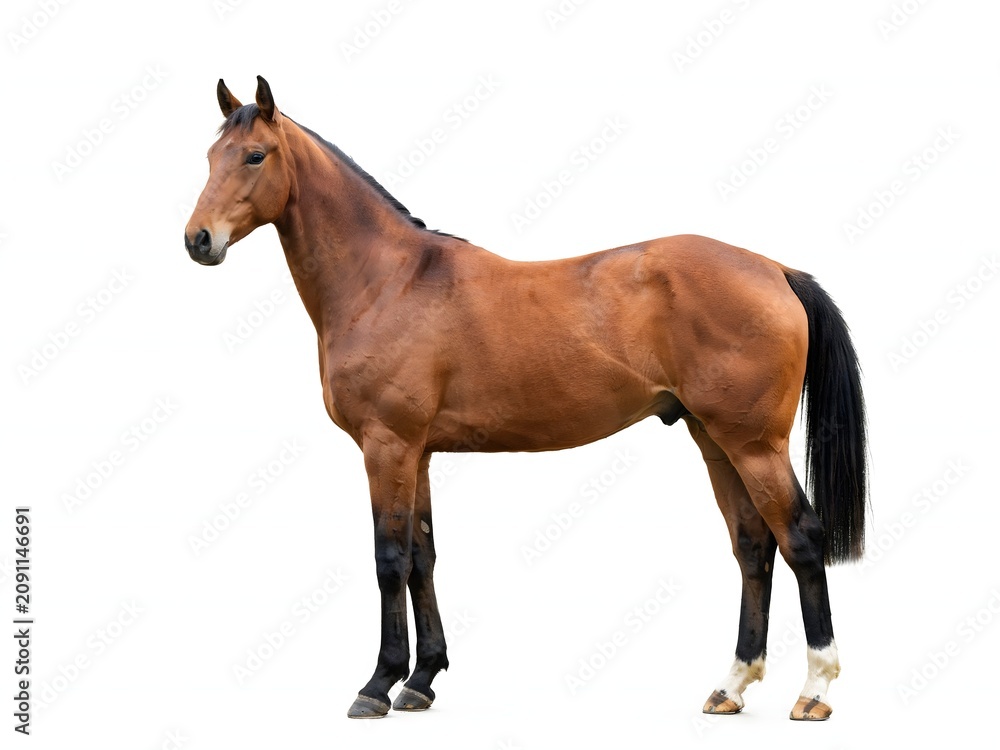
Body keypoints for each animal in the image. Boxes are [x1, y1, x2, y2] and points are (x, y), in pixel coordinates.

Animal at [184, 76, 867, 721]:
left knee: (801, 540)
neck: (387, 280)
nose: (198, 240)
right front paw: (422, 680)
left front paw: (378, 684)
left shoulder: (387, 447)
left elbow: (389, 560)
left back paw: (814, 690)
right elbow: (423, 557)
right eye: (211, 155)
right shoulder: (418, 453)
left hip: (754, 445)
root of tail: (775, 269)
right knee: (753, 547)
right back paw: (731, 685)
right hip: (714, 439)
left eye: (255, 155)